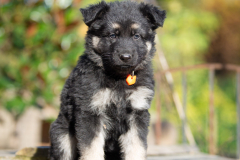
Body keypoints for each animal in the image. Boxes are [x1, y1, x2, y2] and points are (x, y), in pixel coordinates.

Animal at [49, 0, 166, 159]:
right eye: (112, 35)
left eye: (136, 36)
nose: (125, 57)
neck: (119, 77)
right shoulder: (90, 112)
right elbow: (92, 148)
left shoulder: (138, 112)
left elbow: (136, 146)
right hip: (62, 136)